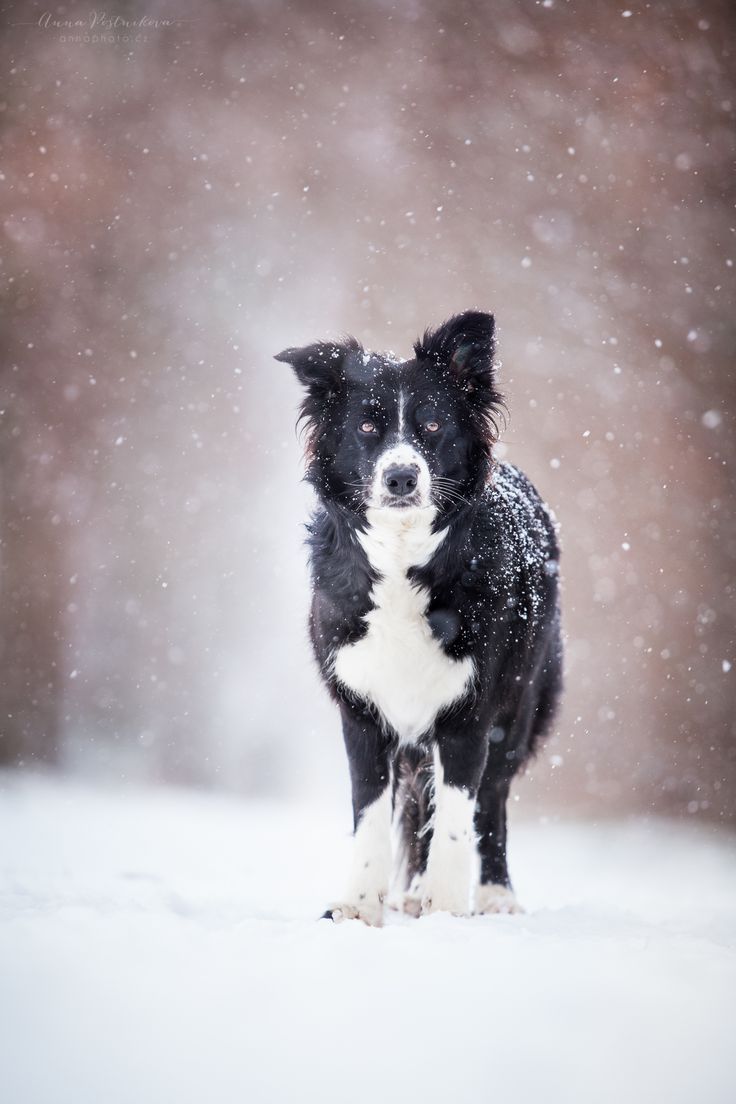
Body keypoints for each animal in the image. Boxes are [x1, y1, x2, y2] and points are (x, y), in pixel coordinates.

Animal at [278, 311, 564, 922]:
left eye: (432, 425)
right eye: (366, 427)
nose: (401, 477)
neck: (402, 555)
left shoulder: (471, 713)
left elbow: (458, 816)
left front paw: (448, 908)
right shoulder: (361, 711)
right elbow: (369, 813)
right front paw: (359, 905)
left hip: (519, 705)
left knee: (492, 802)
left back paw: (495, 896)